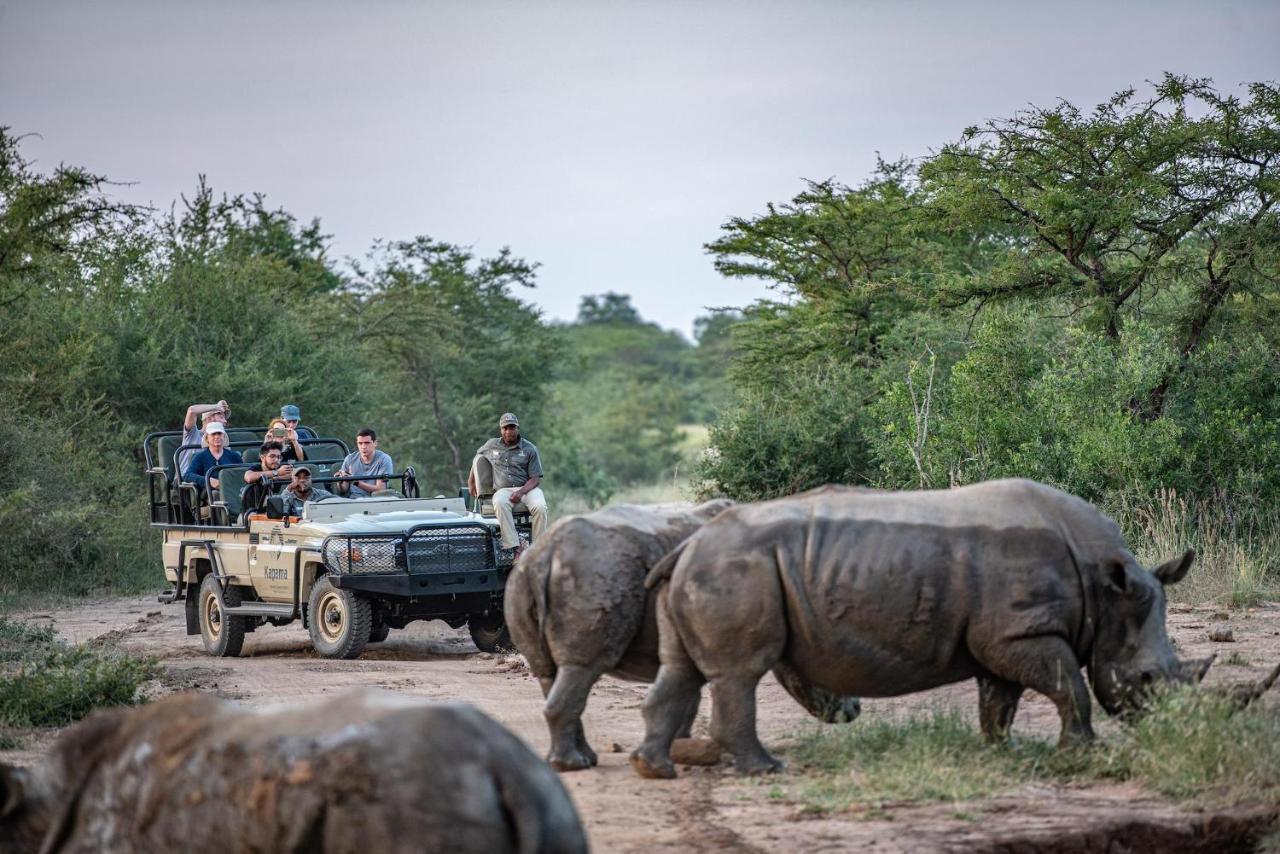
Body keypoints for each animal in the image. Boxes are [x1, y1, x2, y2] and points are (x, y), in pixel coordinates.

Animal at [629, 481, 1259, 783]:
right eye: (1147, 678)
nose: (1169, 731)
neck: (1106, 586)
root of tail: (689, 543)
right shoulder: (1020, 632)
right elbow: (1070, 688)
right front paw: (1080, 752)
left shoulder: (1004, 638)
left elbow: (1000, 698)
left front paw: (1003, 751)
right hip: (735, 568)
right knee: (739, 674)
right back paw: (766, 770)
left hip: (708, 569)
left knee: (682, 670)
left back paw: (653, 769)